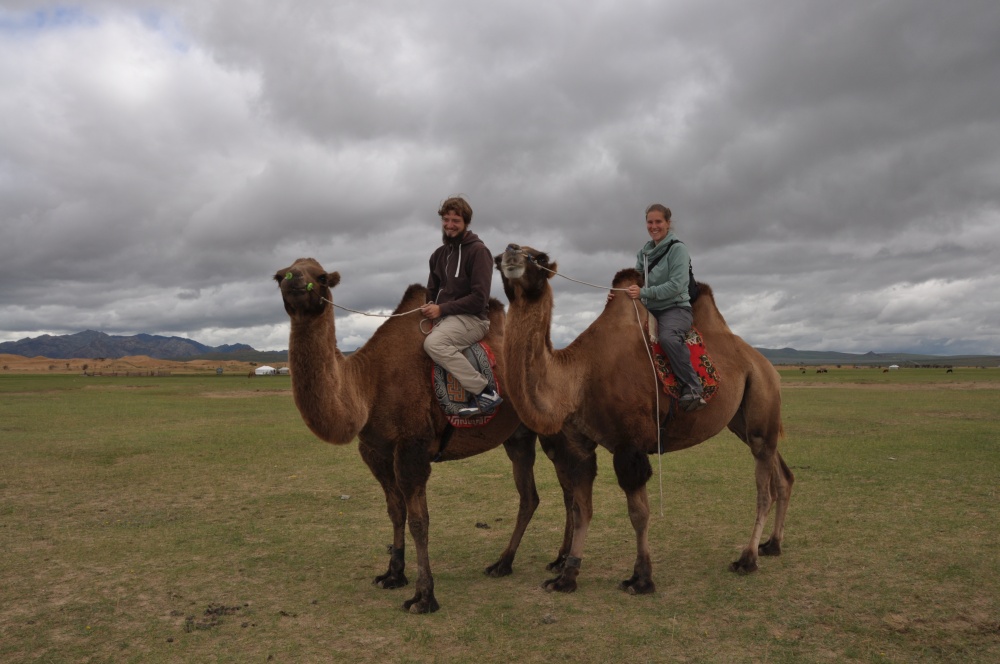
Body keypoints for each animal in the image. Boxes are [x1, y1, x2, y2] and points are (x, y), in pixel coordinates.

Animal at [276, 256, 556, 616]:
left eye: (322, 277)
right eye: (280, 275)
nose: (293, 281)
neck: (368, 383)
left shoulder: (413, 447)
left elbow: (419, 521)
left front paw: (424, 596)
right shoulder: (375, 450)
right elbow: (396, 510)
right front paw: (393, 574)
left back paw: (563, 570)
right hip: (518, 436)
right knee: (529, 495)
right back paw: (503, 564)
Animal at [496, 246, 792, 592]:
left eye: (539, 257)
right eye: (497, 259)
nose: (511, 253)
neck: (579, 376)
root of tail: (766, 364)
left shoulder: (631, 445)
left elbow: (638, 514)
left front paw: (641, 578)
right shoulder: (580, 445)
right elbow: (582, 509)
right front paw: (566, 575)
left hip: (761, 397)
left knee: (764, 489)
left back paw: (747, 559)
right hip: (744, 419)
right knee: (781, 474)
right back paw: (772, 544)